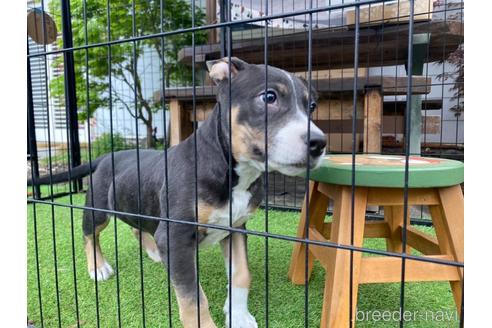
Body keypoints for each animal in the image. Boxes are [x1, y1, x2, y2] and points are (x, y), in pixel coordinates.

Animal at [28, 57, 324, 326]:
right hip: (97, 208)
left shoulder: (235, 228)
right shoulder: (177, 236)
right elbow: (194, 299)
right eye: (269, 97)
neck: (231, 170)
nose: (319, 143)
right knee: (90, 235)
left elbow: (241, 274)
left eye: (312, 106)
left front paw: (239, 318)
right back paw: (98, 267)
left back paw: (153, 252)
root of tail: (106, 156)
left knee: (137, 226)